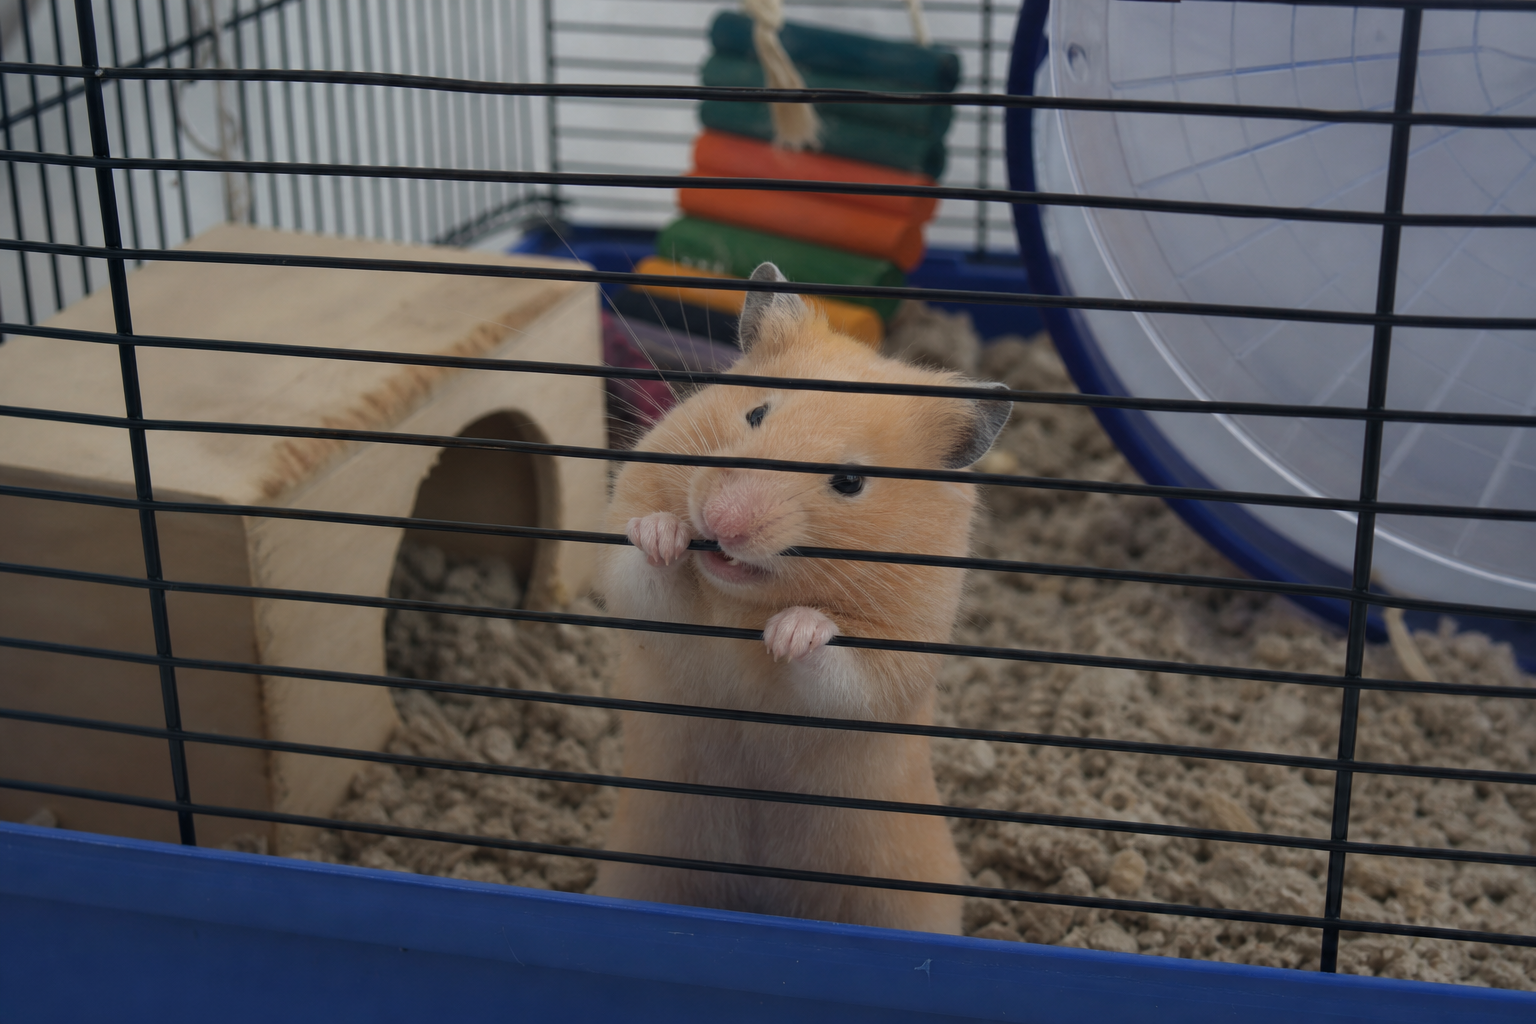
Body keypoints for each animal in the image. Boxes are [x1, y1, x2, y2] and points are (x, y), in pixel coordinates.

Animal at [593, 263, 1010, 934]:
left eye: (850, 481)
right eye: (756, 414)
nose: (723, 522)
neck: (737, 597)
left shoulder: (892, 658)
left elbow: (838, 666)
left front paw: (790, 631)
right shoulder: (642, 597)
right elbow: (640, 569)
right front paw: (664, 534)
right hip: (639, 869)